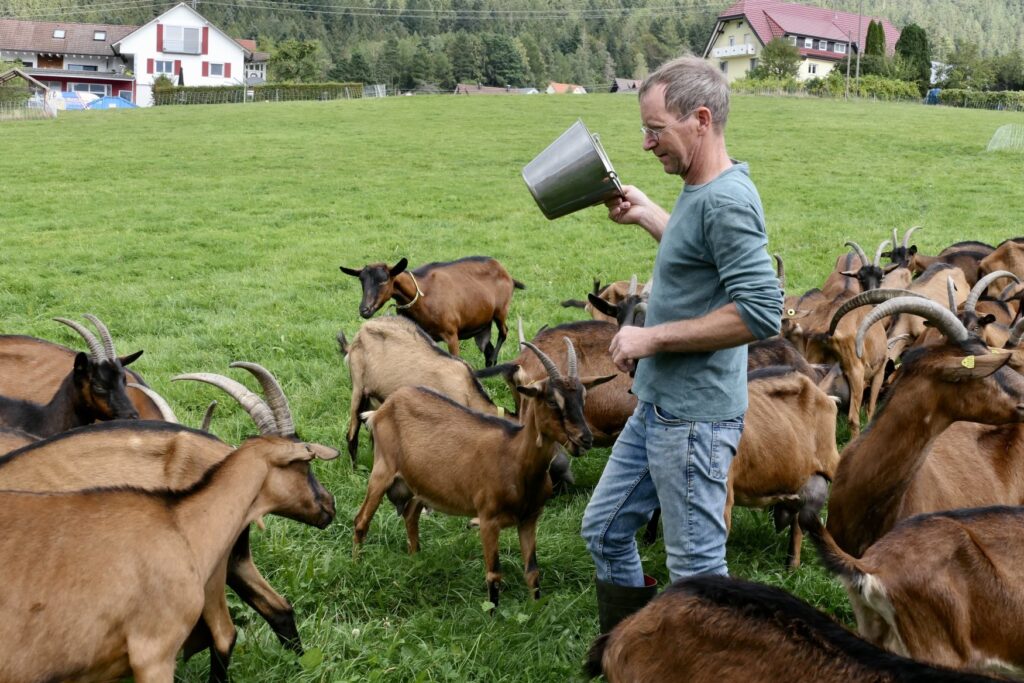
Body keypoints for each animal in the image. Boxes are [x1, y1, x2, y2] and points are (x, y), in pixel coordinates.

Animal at [339, 254, 524, 366]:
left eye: (383, 280)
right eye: (362, 281)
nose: (364, 309)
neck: (422, 293)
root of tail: (507, 275)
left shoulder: (451, 334)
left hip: (501, 311)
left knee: (504, 332)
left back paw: (492, 361)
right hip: (481, 324)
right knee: (487, 346)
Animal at [356, 339, 610, 606]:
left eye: (583, 398)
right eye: (551, 400)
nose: (585, 439)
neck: (514, 457)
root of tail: (382, 409)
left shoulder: (529, 519)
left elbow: (532, 571)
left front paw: (536, 608)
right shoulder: (489, 519)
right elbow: (494, 574)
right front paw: (492, 612)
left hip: (419, 483)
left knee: (410, 515)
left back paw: (415, 559)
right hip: (382, 471)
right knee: (361, 521)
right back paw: (357, 564)